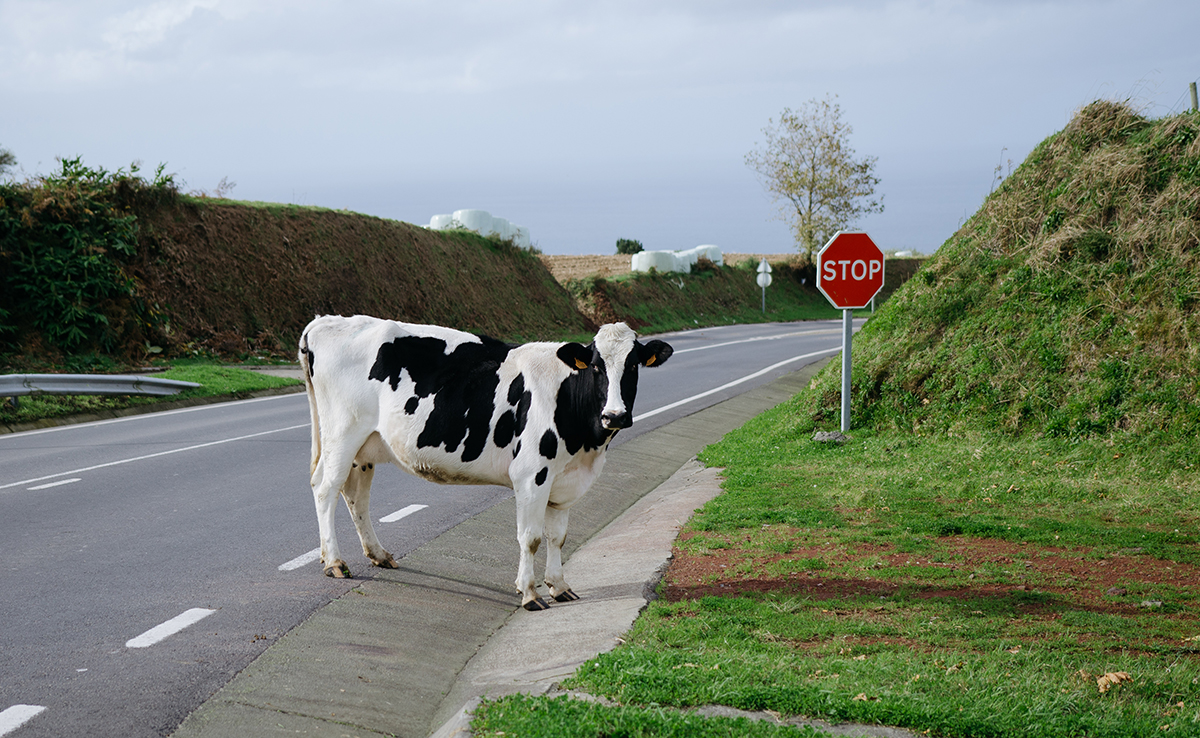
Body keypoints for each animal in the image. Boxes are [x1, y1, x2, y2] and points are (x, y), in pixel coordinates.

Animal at [297, 316, 676, 612]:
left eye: (633, 365)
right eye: (597, 366)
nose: (615, 415)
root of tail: (325, 321)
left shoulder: (564, 479)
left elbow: (558, 537)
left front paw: (559, 586)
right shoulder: (531, 474)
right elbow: (530, 537)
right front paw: (530, 593)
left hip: (365, 447)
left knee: (355, 496)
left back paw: (378, 555)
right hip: (342, 433)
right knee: (325, 488)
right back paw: (334, 562)